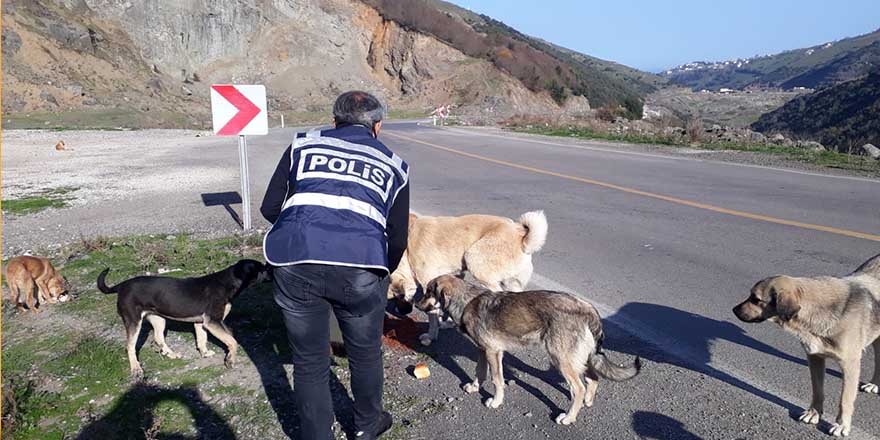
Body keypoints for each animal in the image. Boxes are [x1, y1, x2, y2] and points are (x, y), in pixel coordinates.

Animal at [97, 260, 268, 380]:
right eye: (262, 268)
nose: (271, 269)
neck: (228, 282)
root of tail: (122, 285)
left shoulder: (201, 322)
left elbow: (202, 339)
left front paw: (205, 353)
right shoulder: (212, 321)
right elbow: (232, 341)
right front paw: (230, 360)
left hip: (159, 319)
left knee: (158, 338)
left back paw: (171, 354)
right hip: (134, 321)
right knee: (130, 346)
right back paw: (136, 369)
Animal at [388, 211, 548, 346]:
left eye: (397, 296)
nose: (402, 312)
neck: (407, 250)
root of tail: (521, 235)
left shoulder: (430, 283)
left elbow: (432, 315)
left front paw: (431, 336)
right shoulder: (453, 278)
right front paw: (447, 322)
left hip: (474, 260)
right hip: (511, 283)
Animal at [416, 276, 644, 424]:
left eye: (428, 293)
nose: (415, 305)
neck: (467, 301)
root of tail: (587, 308)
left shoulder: (493, 352)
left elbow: (496, 380)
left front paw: (496, 402)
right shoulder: (483, 351)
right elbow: (480, 372)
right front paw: (474, 387)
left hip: (561, 359)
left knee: (578, 388)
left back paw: (569, 417)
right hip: (577, 358)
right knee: (593, 378)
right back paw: (587, 402)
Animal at [732, 253, 880, 438]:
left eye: (756, 299)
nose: (734, 310)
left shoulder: (850, 365)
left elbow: (845, 399)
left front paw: (841, 425)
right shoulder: (815, 358)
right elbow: (817, 390)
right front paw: (813, 413)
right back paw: (874, 384)